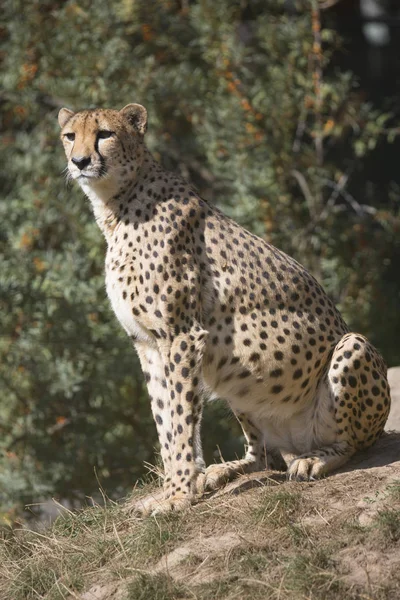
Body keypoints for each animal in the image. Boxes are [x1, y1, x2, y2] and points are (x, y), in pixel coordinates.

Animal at [58, 104, 390, 516]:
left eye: (104, 134)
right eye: (70, 136)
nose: (80, 161)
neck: (117, 204)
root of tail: (299, 441)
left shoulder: (182, 336)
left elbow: (180, 421)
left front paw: (179, 495)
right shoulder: (147, 344)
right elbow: (165, 421)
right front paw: (169, 490)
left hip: (351, 346)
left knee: (352, 443)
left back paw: (315, 459)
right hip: (240, 374)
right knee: (261, 456)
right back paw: (222, 471)